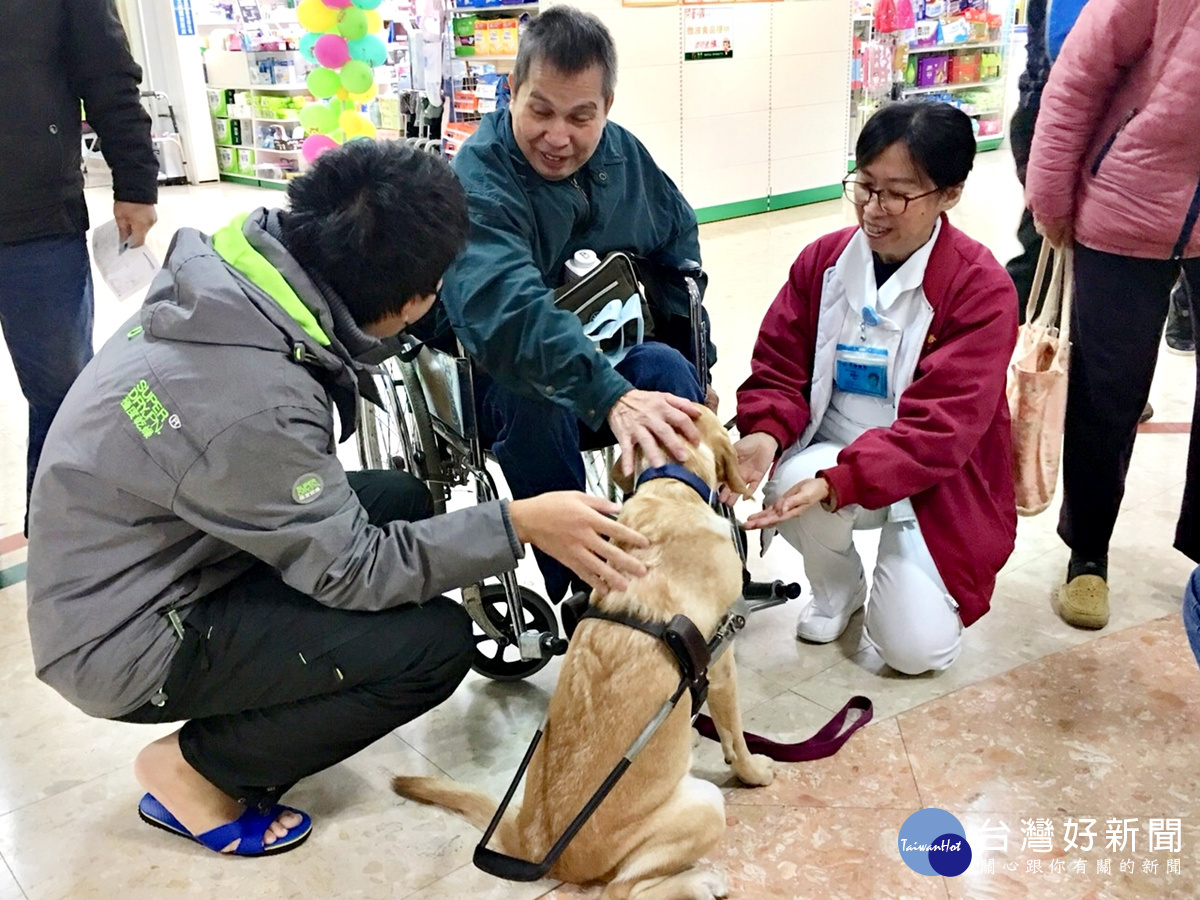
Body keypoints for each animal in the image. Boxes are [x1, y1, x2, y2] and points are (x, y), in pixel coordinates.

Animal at [388, 408, 772, 900]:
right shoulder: (722, 662)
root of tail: (531, 843)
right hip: (705, 804)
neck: (670, 483)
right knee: (622, 891)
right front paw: (753, 771)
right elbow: (735, 736)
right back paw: (699, 880)